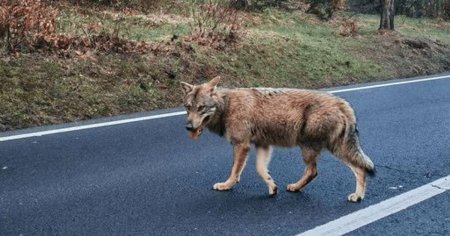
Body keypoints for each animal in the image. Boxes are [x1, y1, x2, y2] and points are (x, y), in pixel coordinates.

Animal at [181, 76, 374, 202]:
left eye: (201, 108)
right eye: (188, 107)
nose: (189, 127)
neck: (227, 106)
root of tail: (344, 104)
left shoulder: (242, 145)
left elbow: (235, 172)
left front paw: (226, 186)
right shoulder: (263, 145)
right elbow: (261, 170)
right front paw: (272, 187)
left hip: (317, 148)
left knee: (326, 171)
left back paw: (356, 196)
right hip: (326, 148)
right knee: (341, 170)